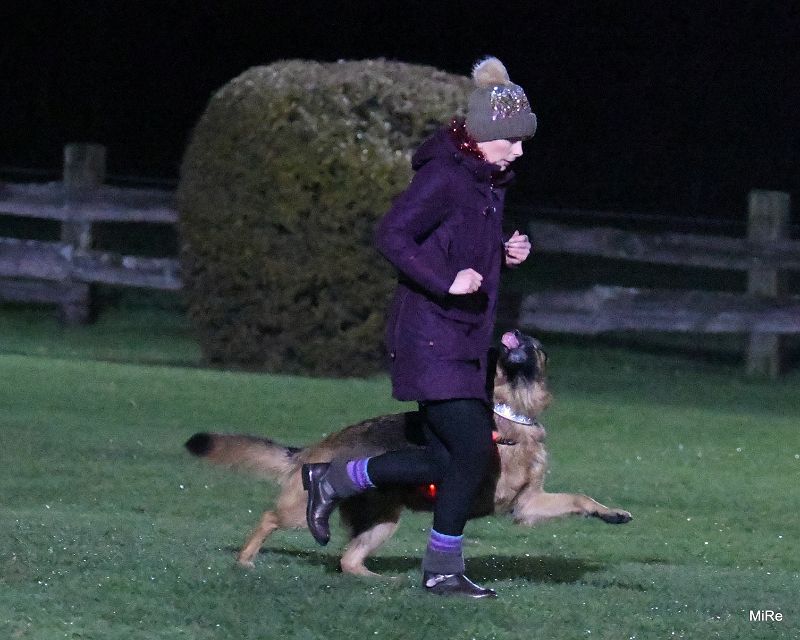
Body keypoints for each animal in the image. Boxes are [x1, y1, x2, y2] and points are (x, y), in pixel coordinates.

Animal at [185, 330, 631, 576]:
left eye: (536, 345)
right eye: (496, 352)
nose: (516, 333)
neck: (510, 410)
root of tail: (315, 449)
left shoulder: (526, 504)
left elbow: (578, 498)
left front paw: (610, 513)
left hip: (382, 523)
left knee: (348, 562)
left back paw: (384, 582)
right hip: (302, 511)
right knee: (269, 518)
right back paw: (245, 560)